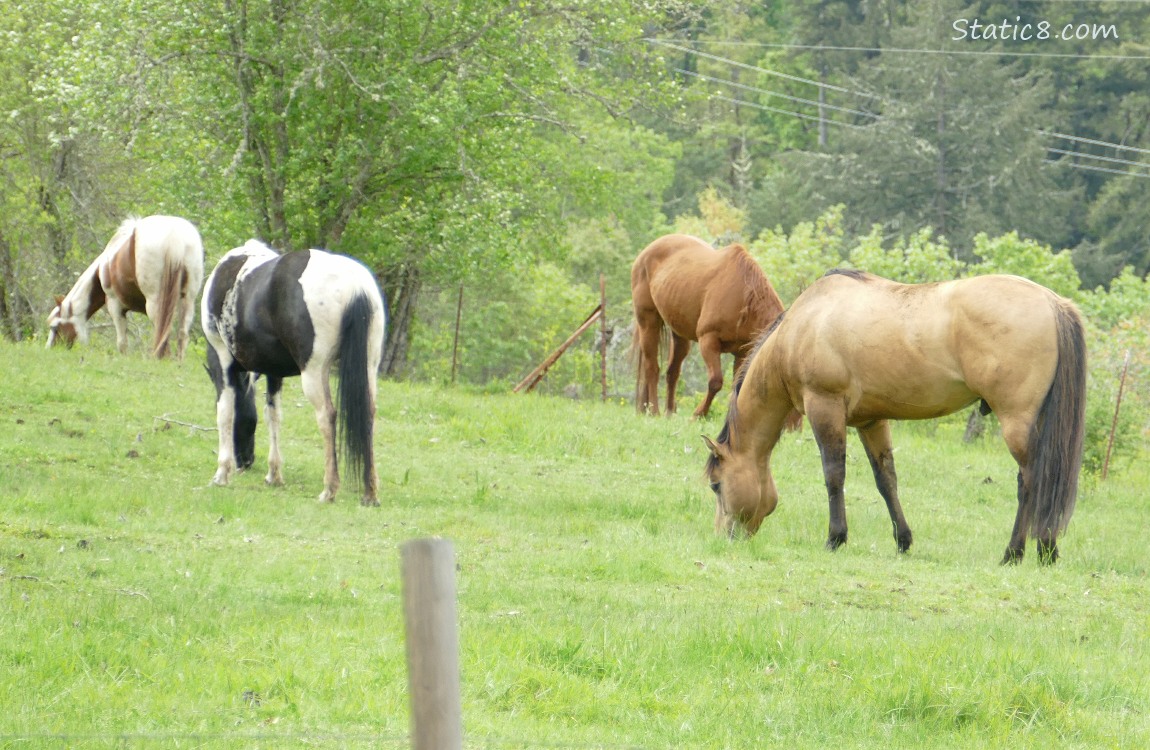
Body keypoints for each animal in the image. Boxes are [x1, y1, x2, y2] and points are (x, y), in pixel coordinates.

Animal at [47, 215, 204, 358]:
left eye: (55, 327)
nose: (50, 349)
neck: (102, 269)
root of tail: (175, 238)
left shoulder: (115, 306)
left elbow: (122, 342)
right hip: (188, 299)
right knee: (182, 332)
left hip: (155, 302)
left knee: (162, 329)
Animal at [202, 240, 386, 506]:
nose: (245, 462)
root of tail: (355, 286)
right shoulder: (273, 372)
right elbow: (273, 416)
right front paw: (273, 475)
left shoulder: (222, 362)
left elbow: (225, 413)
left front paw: (221, 474)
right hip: (369, 366)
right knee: (368, 414)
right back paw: (370, 493)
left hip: (315, 372)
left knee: (327, 416)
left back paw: (329, 489)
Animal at [634, 234, 786, 418]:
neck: (743, 298)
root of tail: (646, 251)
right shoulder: (708, 341)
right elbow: (715, 382)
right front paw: (698, 414)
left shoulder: (742, 352)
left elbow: (736, 387)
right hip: (648, 322)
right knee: (652, 368)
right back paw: (654, 411)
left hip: (679, 334)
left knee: (672, 372)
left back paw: (668, 412)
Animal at [699, 269, 1085, 561]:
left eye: (716, 485)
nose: (723, 537)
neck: (803, 326)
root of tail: (1053, 303)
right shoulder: (871, 421)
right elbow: (886, 479)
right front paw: (903, 540)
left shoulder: (824, 407)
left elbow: (833, 475)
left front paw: (835, 537)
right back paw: (1046, 549)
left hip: (1016, 423)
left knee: (1030, 480)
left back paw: (1015, 552)